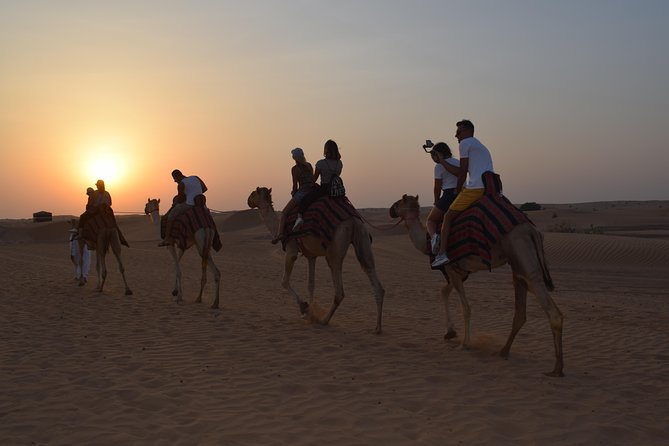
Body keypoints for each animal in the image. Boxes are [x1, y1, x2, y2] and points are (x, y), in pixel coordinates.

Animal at [247, 187, 385, 333]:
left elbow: (284, 281)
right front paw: (310, 313)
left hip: (335, 247)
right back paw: (378, 328)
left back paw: (324, 320)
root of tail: (352, 220)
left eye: (253, 193)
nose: (248, 201)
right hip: (362, 236)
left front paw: (304, 307)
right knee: (373, 275)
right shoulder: (311, 256)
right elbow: (311, 284)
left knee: (339, 291)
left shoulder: (291, 249)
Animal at [389, 194, 564, 377]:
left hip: (523, 258)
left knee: (550, 309)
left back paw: (556, 369)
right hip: (517, 265)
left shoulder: (450, 268)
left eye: (398, 203)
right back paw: (503, 352)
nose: (390, 210)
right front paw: (450, 333)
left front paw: (464, 344)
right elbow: (444, 292)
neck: (427, 241)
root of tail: (531, 230)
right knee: (520, 311)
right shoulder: (458, 272)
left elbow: (465, 307)